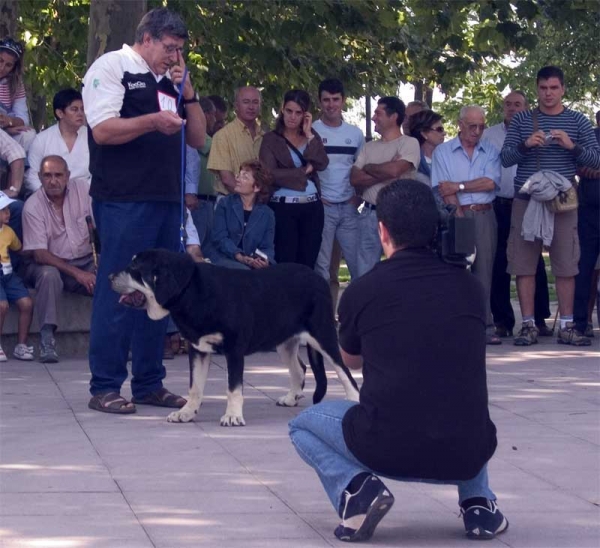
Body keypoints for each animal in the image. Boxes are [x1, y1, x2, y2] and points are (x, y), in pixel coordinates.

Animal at [110, 250, 358, 426]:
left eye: (134, 268)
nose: (110, 275)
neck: (192, 292)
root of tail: (318, 277)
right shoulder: (198, 349)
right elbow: (195, 387)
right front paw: (187, 413)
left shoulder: (234, 349)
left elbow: (234, 388)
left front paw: (232, 416)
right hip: (284, 342)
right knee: (299, 368)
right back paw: (291, 398)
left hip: (322, 334)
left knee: (345, 373)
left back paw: (353, 401)